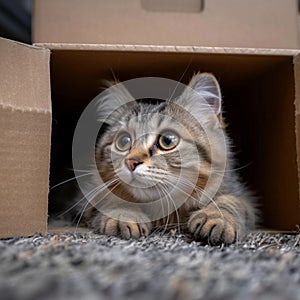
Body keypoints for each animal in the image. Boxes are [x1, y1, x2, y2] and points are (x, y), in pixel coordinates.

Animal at [78, 72, 255, 244]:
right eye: (123, 141)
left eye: (168, 140)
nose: (131, 162)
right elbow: (113, 199)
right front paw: (123, 214)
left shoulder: (239, 194)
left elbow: (231, 201)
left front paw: (218, 217)